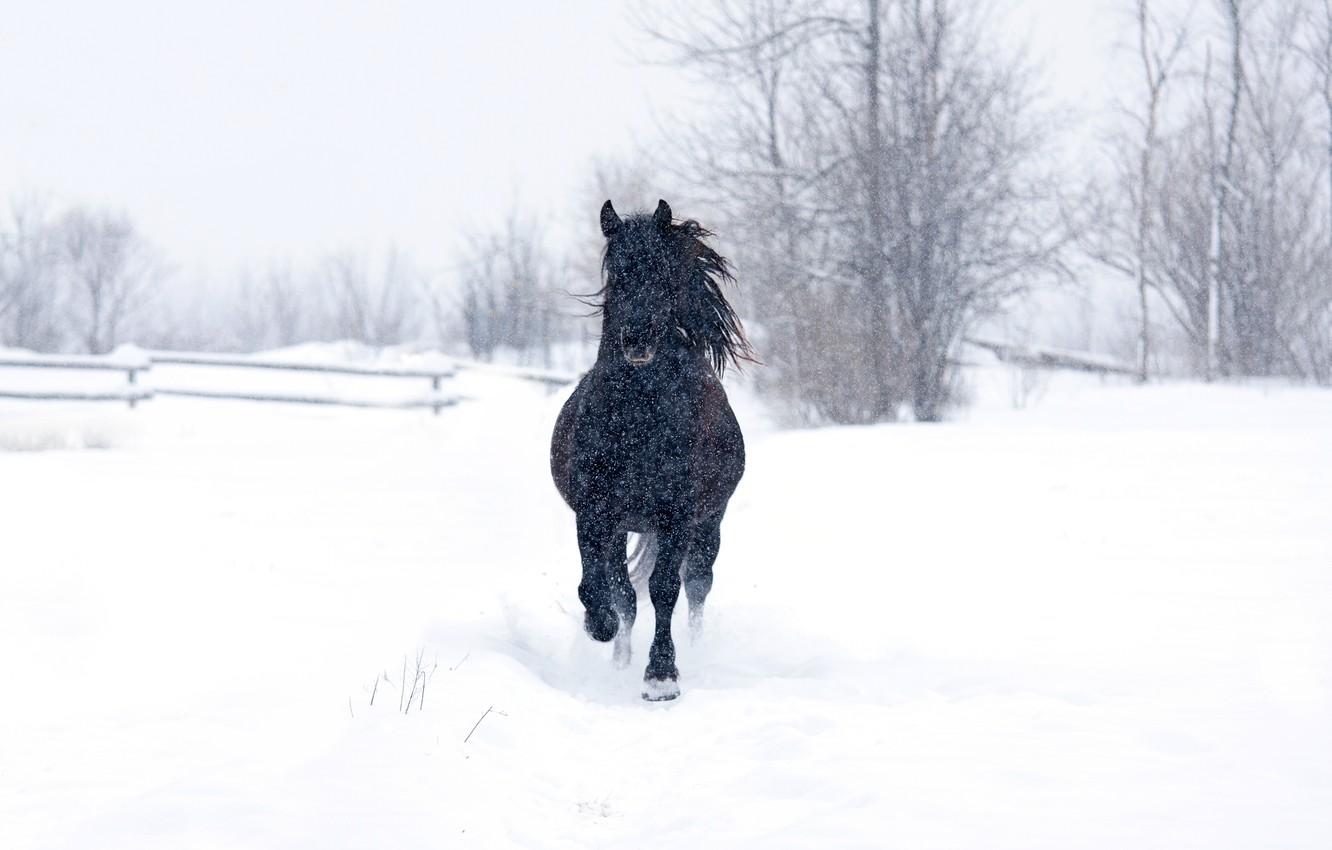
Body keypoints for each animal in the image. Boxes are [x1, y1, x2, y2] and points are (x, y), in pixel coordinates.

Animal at [550, 199, 755, 701]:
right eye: (617, 272)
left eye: (662, 272)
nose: (637, 338)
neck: (637, 418)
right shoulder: (595, 513)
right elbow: (603, 590)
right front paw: (600, 628)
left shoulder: (677, 516)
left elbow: (664, 590)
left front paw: (662, 675)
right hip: (625, 526)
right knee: (624, 592)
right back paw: (621, 657)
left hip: (709, 524)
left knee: (697, 584)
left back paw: (695, 649)